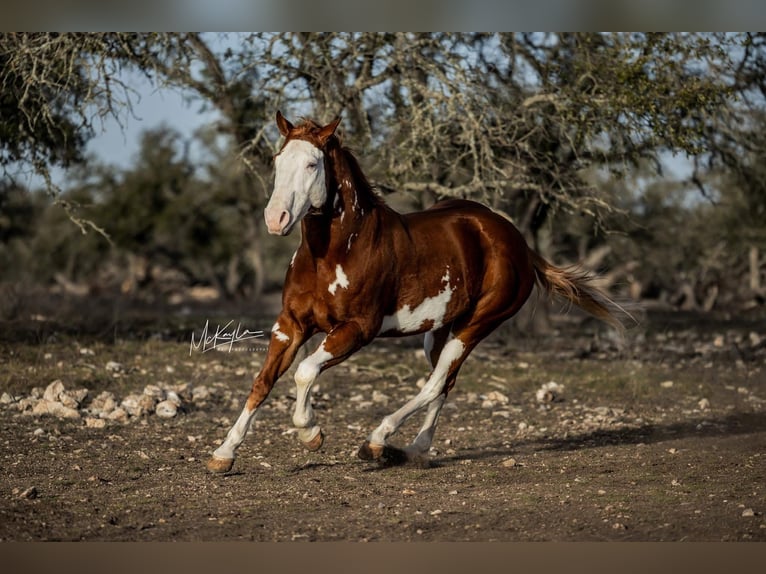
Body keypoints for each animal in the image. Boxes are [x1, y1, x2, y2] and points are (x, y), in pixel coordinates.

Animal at [206, 110, 632, 474]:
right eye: (278, 161)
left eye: (313, 164)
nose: (275, 219)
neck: (335, 253)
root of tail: (517, 242)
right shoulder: (289, 325)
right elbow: (262, 383)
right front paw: (224, 454)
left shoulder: (358, 329)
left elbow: (305, 371)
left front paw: (311, 433)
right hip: (439, 331)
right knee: (445, 384)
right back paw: (413, 450)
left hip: (475, 326)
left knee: (435, 384)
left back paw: (377, 442)